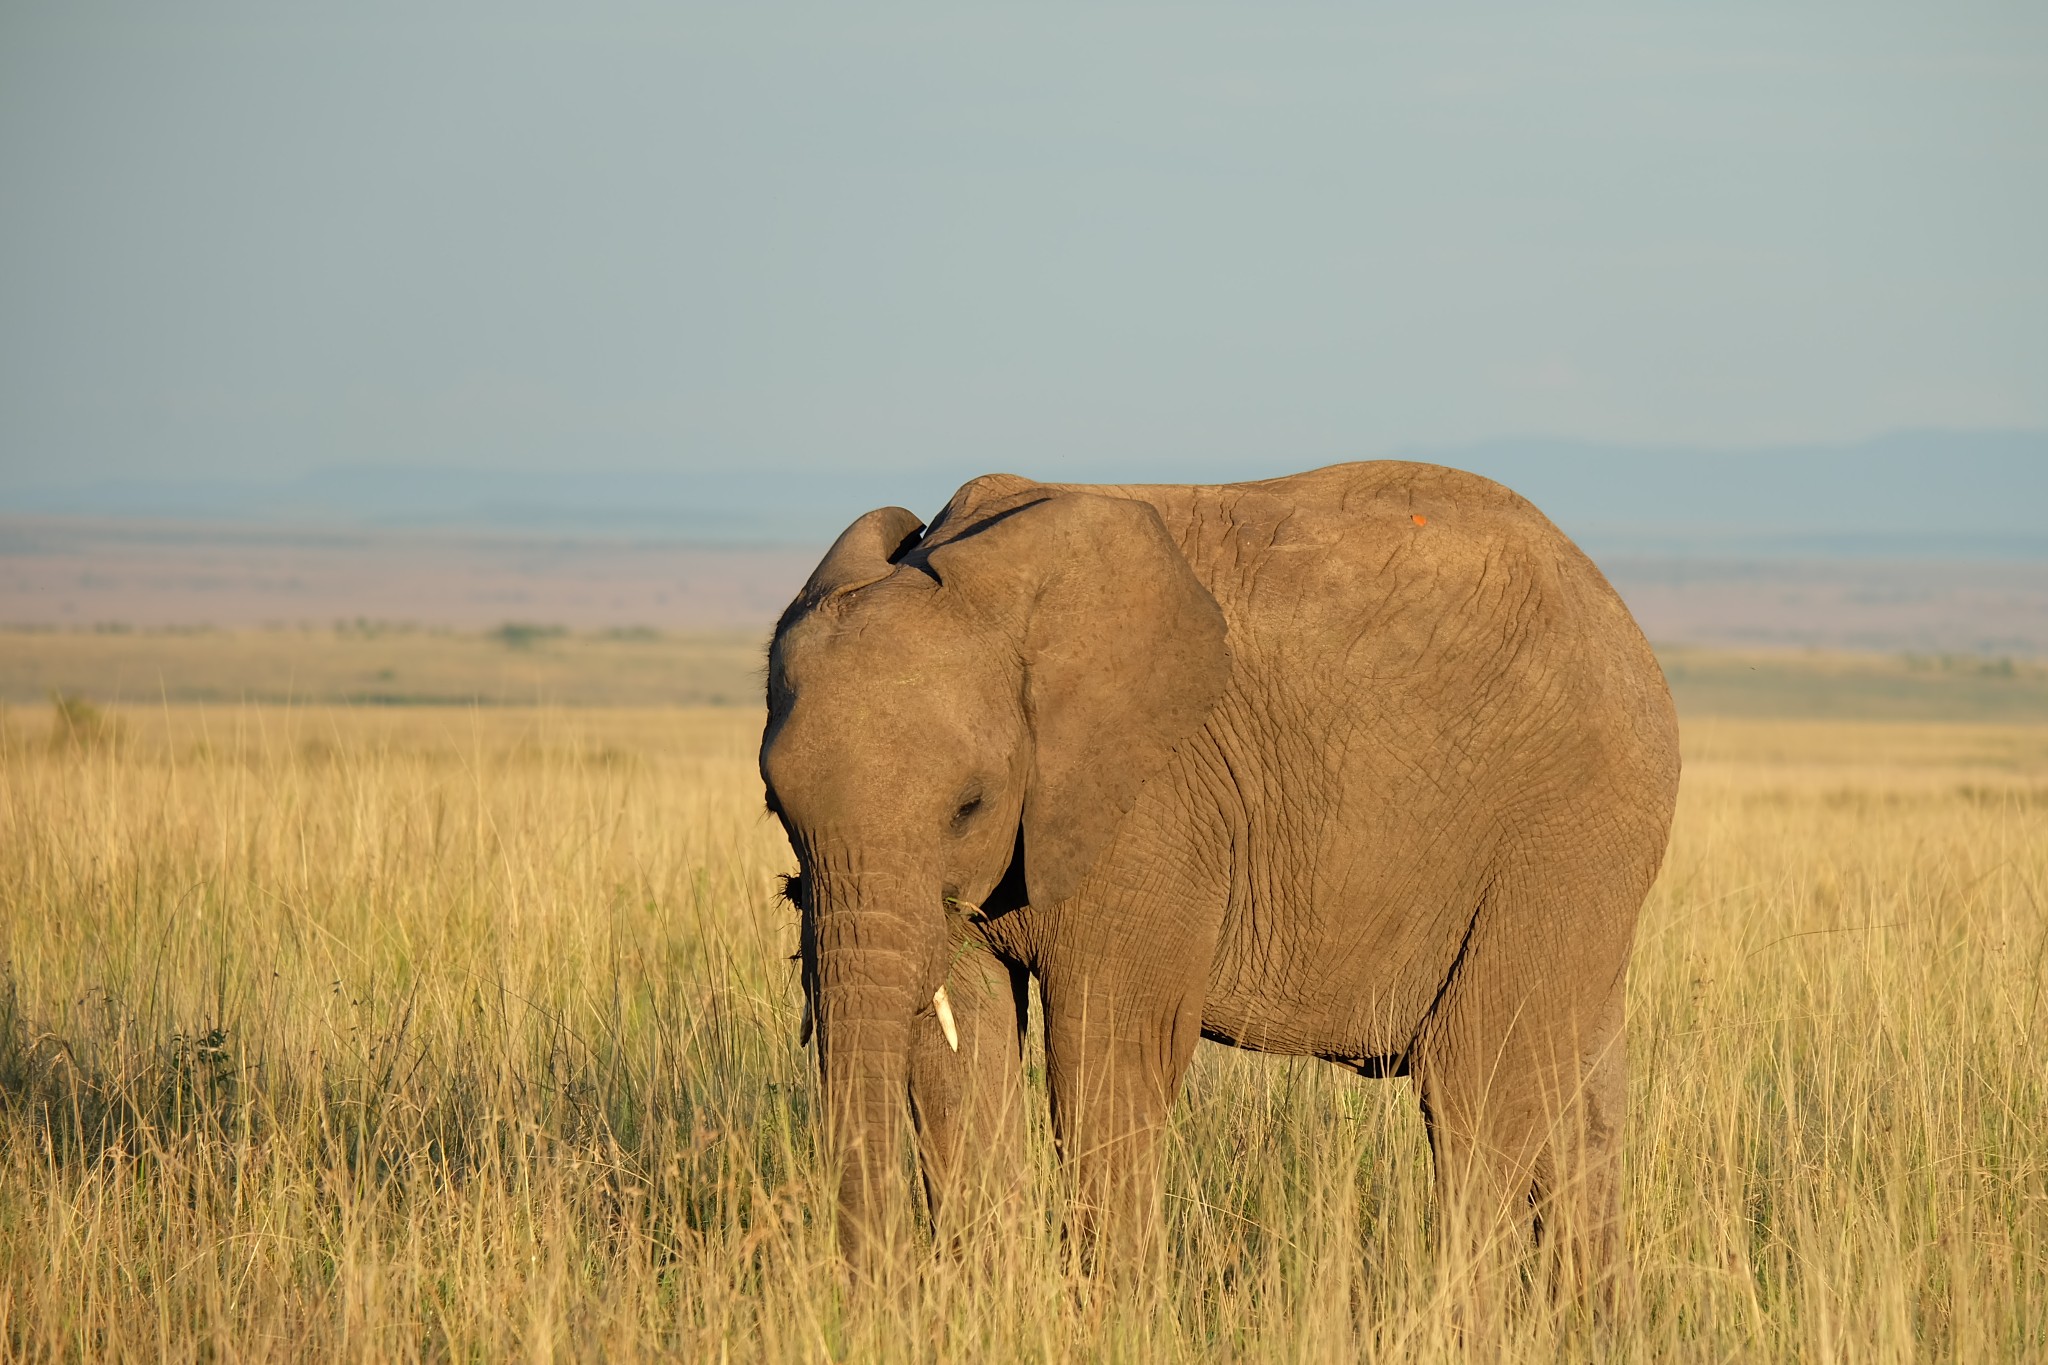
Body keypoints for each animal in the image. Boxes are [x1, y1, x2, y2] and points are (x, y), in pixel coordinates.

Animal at [757, 462, 1679, 1301]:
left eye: (969, 805)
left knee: (1471, 1091)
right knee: (1580, 1106)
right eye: (776, 809)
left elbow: (1109, 1050)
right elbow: (957, 1052)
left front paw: (1116, 1319)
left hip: (1562, 830)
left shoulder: (1153, 809)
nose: (877, 1295)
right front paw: (985, 1309)